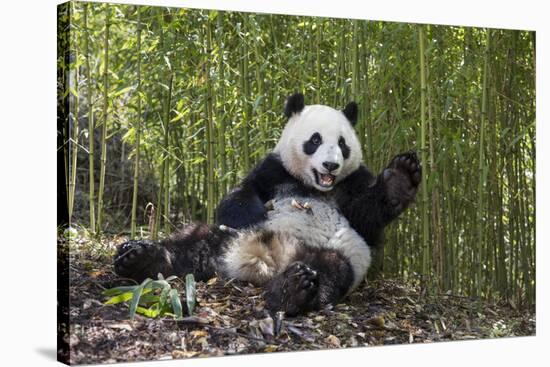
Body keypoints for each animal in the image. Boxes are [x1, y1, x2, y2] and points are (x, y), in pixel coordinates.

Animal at [114, 92, 420, 316]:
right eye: (315, 139)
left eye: (343, 144)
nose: (330, 165)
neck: (314, 187)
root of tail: (264, 262)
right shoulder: (274, 170)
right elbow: (241, 193)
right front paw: (252, 215)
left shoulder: (352, 184)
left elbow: (367, 215)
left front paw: (401, 177)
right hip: (223, 237)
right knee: (191, 243)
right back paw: (140, 258)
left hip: (338, 253)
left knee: (330, 270)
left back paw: (293, 289)